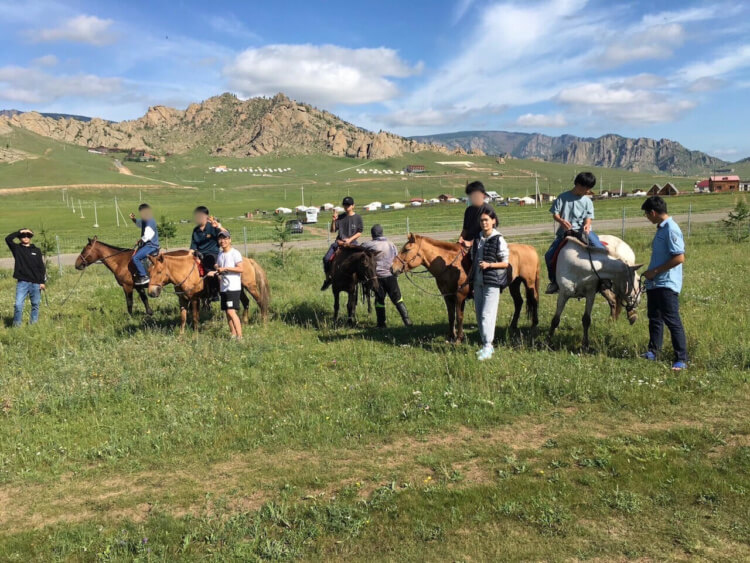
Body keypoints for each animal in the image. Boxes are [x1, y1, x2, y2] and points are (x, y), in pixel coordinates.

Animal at [394, 235, 540, 344]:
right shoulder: (447, 296)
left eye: (406, 249)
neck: (448, 266)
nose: (392, 268)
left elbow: (459, 316)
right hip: (514, 284)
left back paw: (534, 325)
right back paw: (513, 325)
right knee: (519, 302)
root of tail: (530, 248)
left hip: (529, 283)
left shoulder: (460, 296)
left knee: (534, 300)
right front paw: (451, 336)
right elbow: (451, 316)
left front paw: (459, 338)